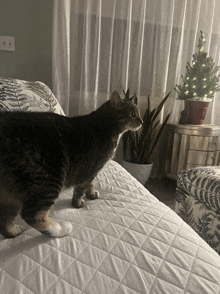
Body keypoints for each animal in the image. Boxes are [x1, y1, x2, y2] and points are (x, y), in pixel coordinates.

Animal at [0, 91, 143, 239]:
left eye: (138, 113)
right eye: (132, 114)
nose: (142, 121)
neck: (106, 124)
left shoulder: (92, 170)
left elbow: (90, 184)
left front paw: (91, 194)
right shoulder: (90, 168)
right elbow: (81, 189)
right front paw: (78, 203)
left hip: (10, 193)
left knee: (5, 219)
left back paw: (13, 231)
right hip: (48, 179)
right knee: (32, 214)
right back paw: (62, 229)